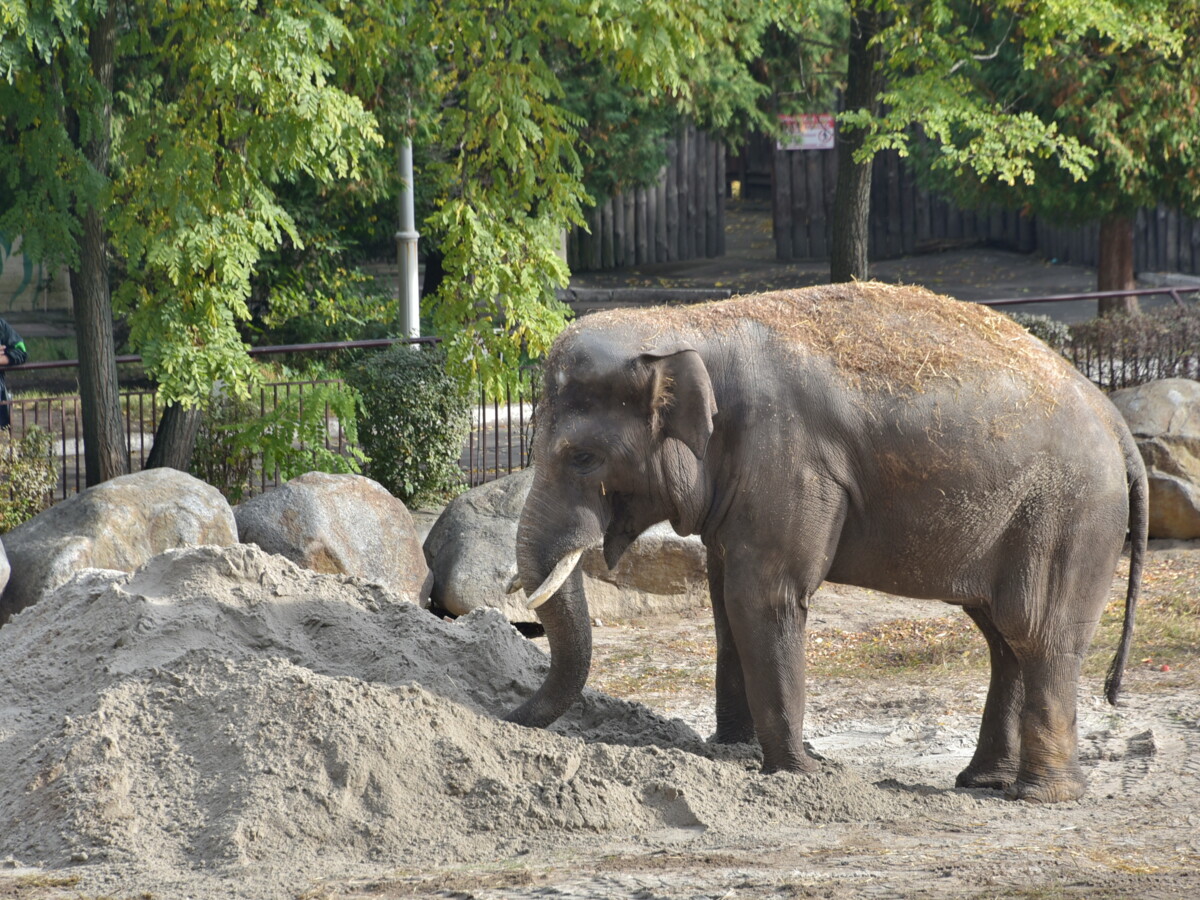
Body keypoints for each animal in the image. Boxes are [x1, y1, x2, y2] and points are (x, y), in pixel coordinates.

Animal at [506, 282, 1142, 801]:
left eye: (582, 457)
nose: (506, 714)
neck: (687, 325)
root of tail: (1115, 419)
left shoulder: (788, 460)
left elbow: (763, 596)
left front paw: (798, 774)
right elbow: (725, 600)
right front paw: (732, 752)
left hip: (1068, 514)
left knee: (1038, 631)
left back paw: (1042, 796)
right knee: (1003, 635)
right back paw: (984, 782)